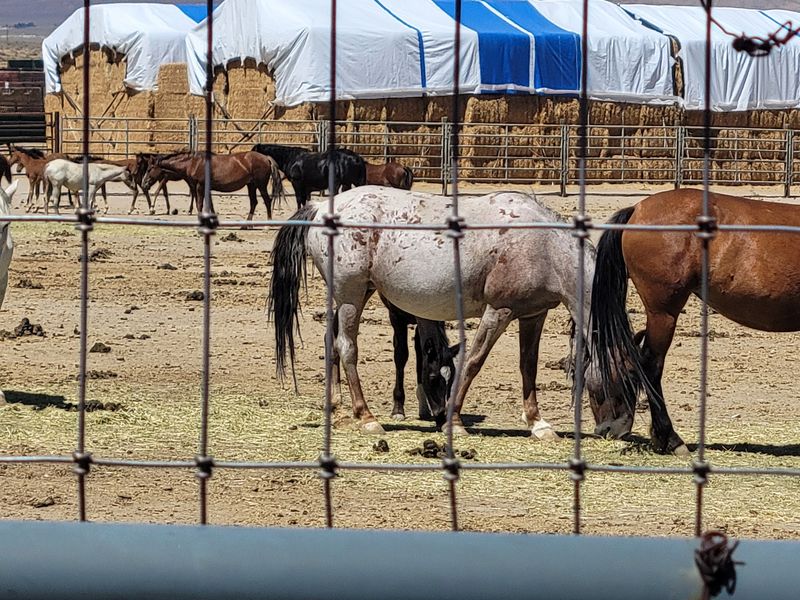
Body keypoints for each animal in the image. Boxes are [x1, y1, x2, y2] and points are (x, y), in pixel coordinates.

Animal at [144, 151, 282, 219]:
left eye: (150, 169)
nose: (144, 183)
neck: (194, 163)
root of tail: (266, 158)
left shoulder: (200, 186)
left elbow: (199, 204)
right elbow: (208, 204)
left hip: (260, 185)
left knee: (267, 201)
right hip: (251, 185)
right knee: (254, 203)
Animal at [268, 186, 621, 438]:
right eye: (625, 374)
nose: (615, 431)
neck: (544, 245)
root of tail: (321, 207)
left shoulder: (534, 314)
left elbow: (528, 367)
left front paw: (538, 423)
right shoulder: (499, 310)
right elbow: (473, 362)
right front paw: (454, 422)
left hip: (350, 297)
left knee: (332, 345)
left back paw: (337, 406)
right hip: (351, 297)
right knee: (346, 348)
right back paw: (366, 417)